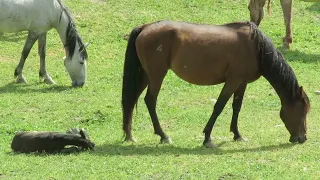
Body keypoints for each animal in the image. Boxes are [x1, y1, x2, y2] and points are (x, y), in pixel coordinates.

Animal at [121, 20, 308, 148]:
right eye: (303, 111)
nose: (302, 138)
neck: (256, 47)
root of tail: (145, 27)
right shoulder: (232, 81)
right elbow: (219, 106)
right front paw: (207, 138)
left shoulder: (242, 83)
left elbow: (236, 107)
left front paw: (237, 135)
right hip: (156, 76)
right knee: (150, 101)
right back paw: (163, 135)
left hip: (145, 76)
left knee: (131, 100)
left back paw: (129, 134)